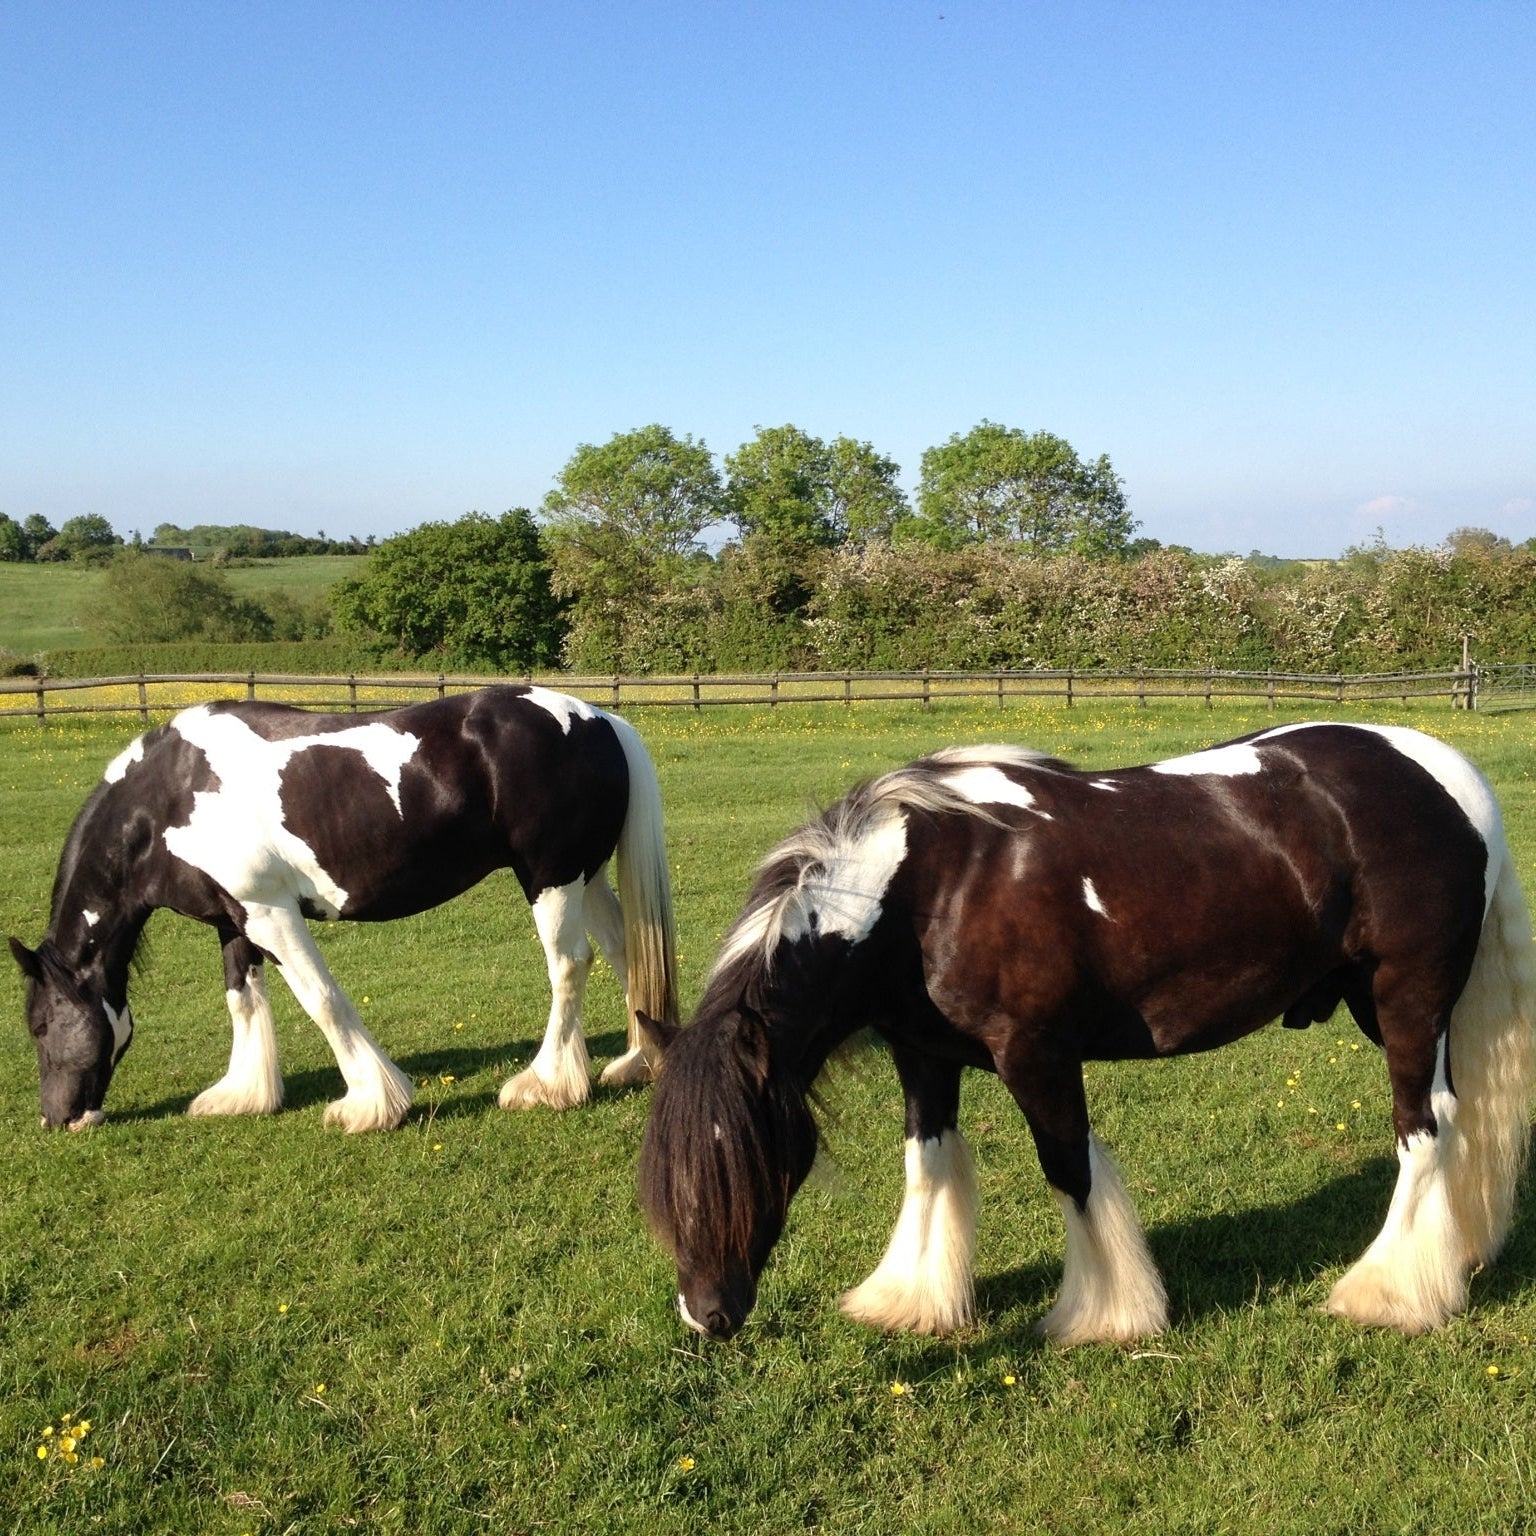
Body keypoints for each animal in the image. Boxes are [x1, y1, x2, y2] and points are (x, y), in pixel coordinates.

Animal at [11, 684, 678, 1132]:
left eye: (40, 1026)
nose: (57, 1118)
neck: (168, 798)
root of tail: (600, 719)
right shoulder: (234, 918)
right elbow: (242, 1000)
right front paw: (242, 1094)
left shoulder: (270, 912)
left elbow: (321, 999)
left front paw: (371, 1103)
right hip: (587, 877)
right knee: (627, 950)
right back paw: (635, 1063)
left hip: (550, 878)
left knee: (570, 964)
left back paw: (546, 1085)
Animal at [638, 722, 1536, 1344]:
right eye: (662, 1170)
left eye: (754, 1155)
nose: (707, 1314)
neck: (928, 887)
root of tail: (1447, 775)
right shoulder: (924, 1057)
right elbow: (928, 1165)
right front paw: (909, 1300)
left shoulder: (1035, 1054)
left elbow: (1070, 1169)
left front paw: (1107, 1314)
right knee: (1455, 1119)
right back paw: (1452, 1260)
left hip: (1407, 998)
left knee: (1423, 1127)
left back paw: (1388, 1294)